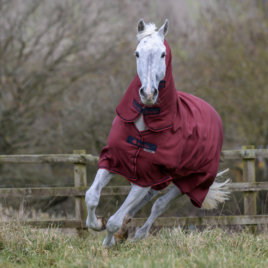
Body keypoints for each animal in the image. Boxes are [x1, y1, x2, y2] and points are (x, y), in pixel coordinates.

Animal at [85, 19, 229, 248]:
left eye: (163, 54)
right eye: (137, 53)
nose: (148, 93)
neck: (145, 122)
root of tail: (213, 113)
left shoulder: (145, 177)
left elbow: (115, 220)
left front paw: (108, 244)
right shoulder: (113, 161)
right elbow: (91, 196)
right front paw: (97, 224)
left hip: (189, 180)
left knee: (159, 204)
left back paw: (138, 235)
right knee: (148, 199)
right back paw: (124, 232)